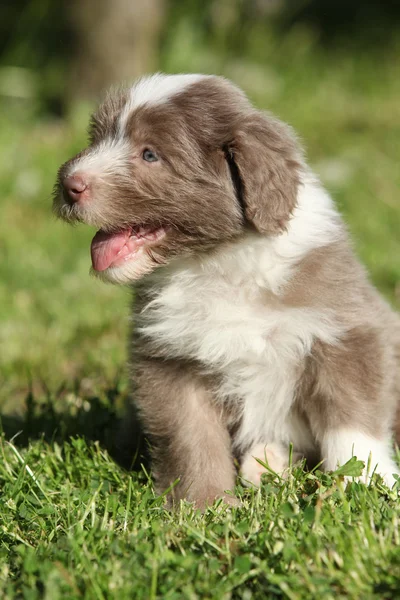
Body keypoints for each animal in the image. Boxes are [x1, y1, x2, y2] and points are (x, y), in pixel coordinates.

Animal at [53, 74, 400, 506]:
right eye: (97, 138)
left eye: (150, 154)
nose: (69, 184)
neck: (216, 263)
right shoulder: (171, 359)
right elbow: (192, 438)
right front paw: (204, 505)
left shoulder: (346, 331)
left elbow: (352, 422)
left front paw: (366, 486)